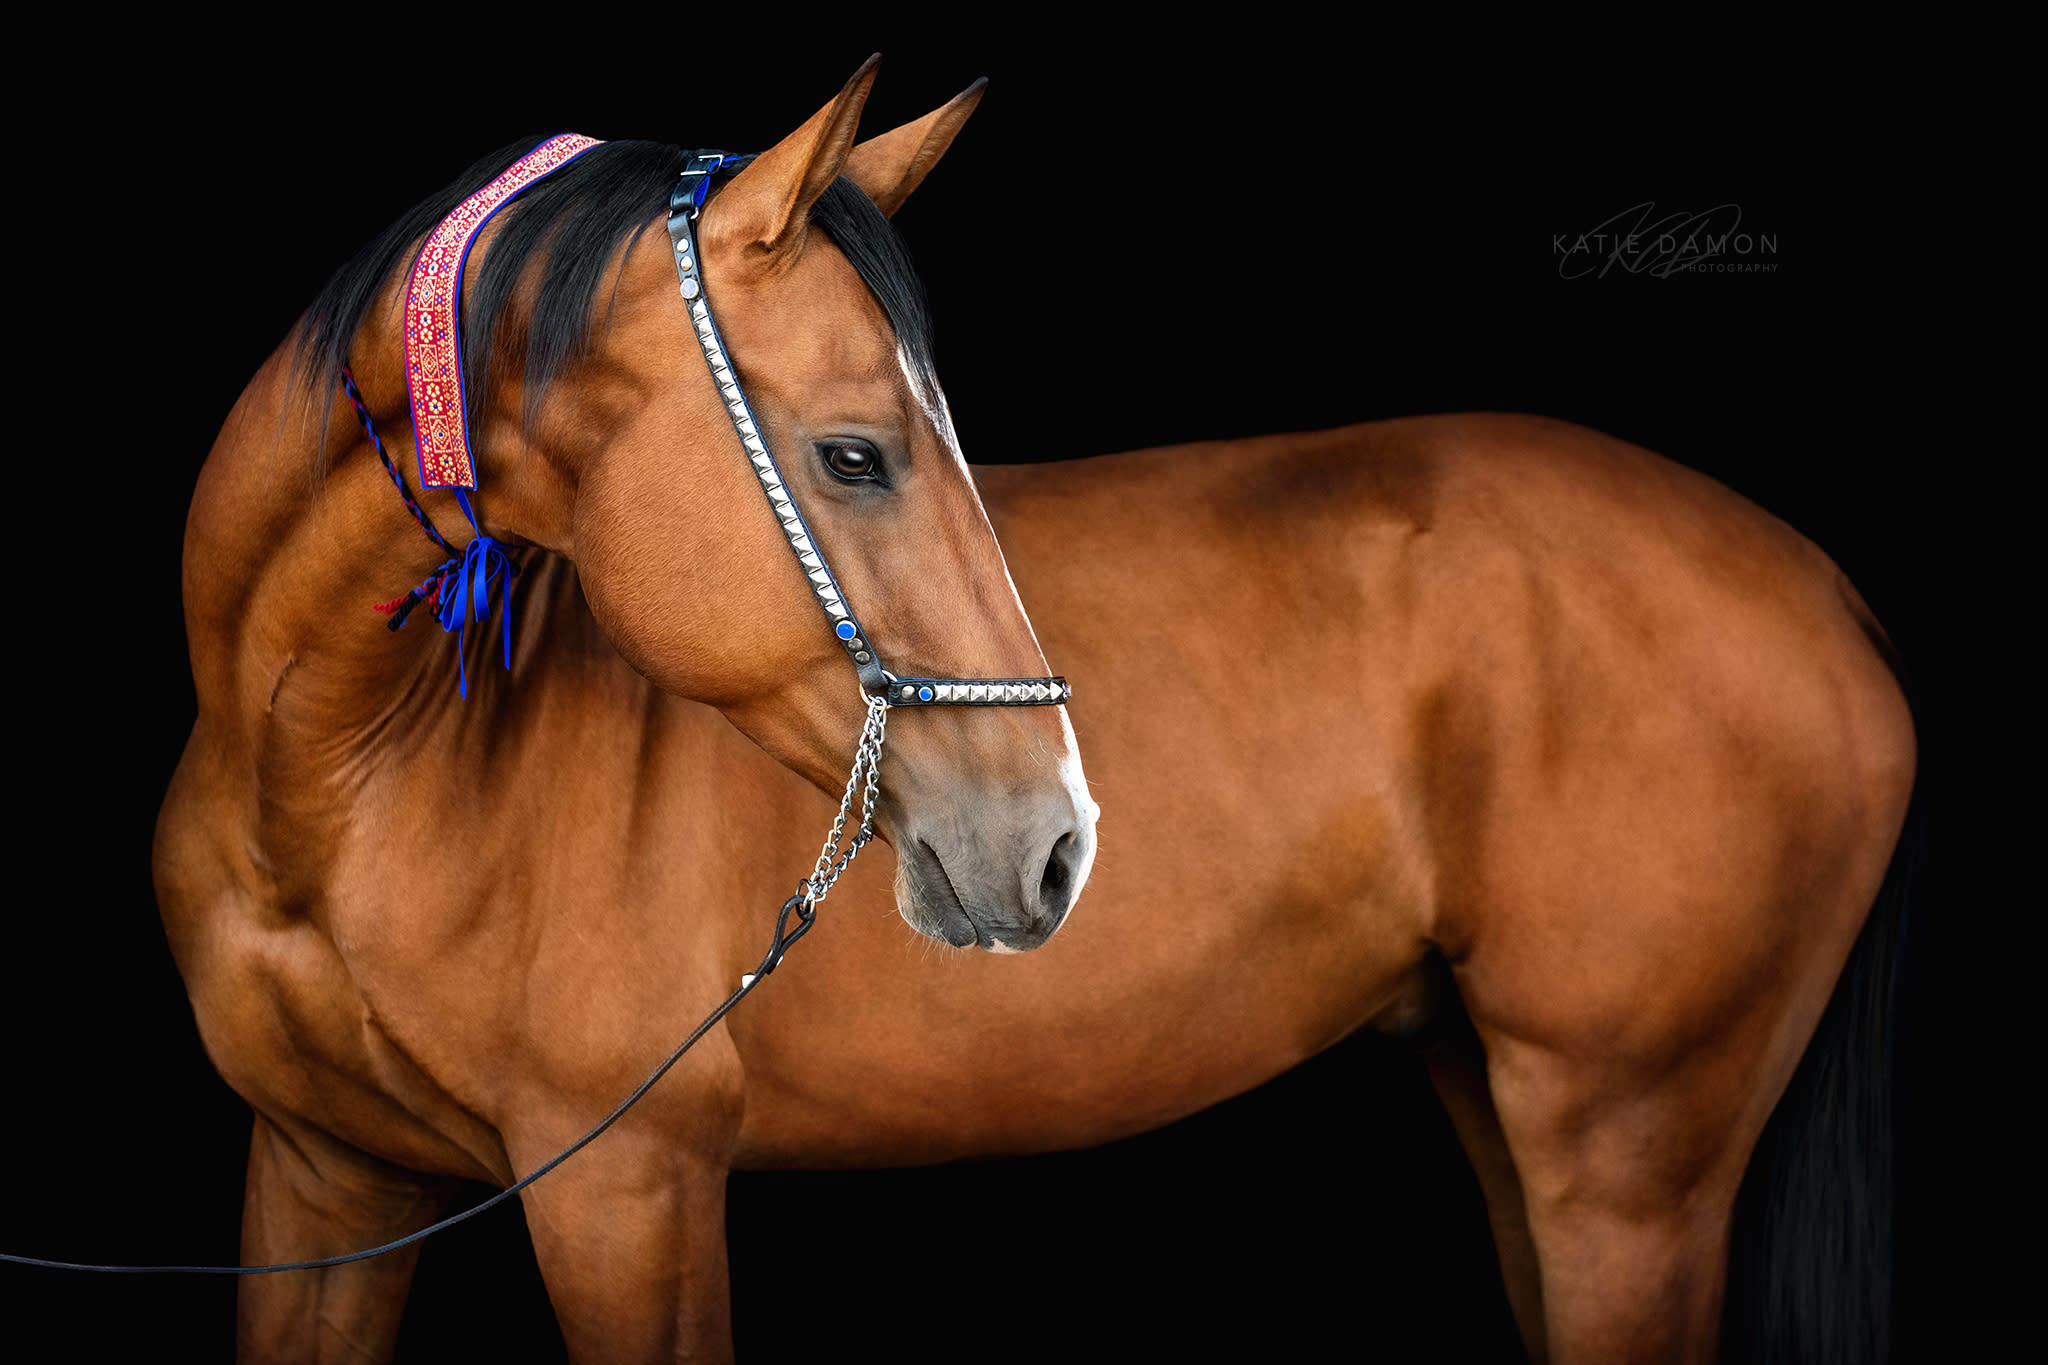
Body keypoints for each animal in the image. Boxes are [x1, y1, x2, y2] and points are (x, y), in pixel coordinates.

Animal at [128, 61, 1914, 1365]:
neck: (351, 774)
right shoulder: (325, 1180)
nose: (1053, 841)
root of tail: (1825, 586)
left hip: (1630, 1153)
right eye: (858, 453)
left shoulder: (630, 1187)